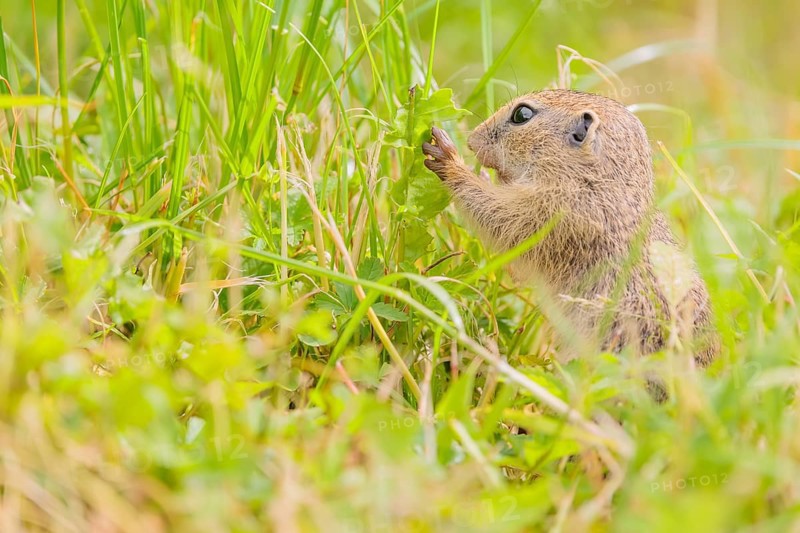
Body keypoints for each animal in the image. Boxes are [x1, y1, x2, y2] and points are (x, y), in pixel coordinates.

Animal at [422, 89, 717, 365]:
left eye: (522, 114)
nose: (473, 140)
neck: (596, 178)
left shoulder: (551, 216)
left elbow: (496, 217)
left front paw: (450, 161)